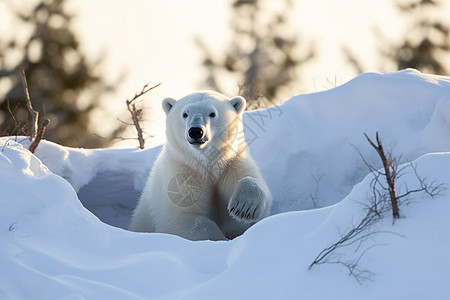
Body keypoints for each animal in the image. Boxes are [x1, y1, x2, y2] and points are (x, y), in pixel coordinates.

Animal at [130, 91, 270, 241]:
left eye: (212, 113)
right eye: (185, 113)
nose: (196, 131)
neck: (207, 162)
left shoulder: (232, 163)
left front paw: (244, 208)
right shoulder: (182, 173)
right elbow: (184, 219)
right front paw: (220, 239)